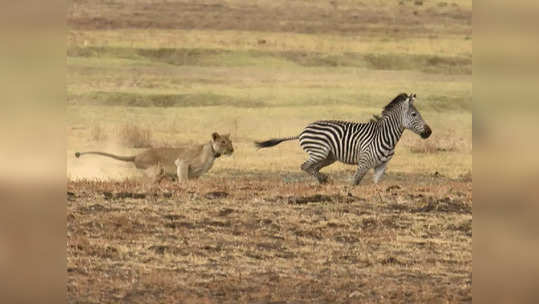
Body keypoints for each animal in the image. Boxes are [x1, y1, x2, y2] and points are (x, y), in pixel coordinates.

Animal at [254, 92, 434, 184]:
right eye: (414, 114)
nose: (429, 132)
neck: (386, 136)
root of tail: (302, 131)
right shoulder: (364, 162)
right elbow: (355, 182)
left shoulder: (381, 166)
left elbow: (376, 184)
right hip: (320, 151)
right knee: (305, 166)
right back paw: (324, 179)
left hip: (328, 156)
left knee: (313, 168)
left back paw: (324, 180)